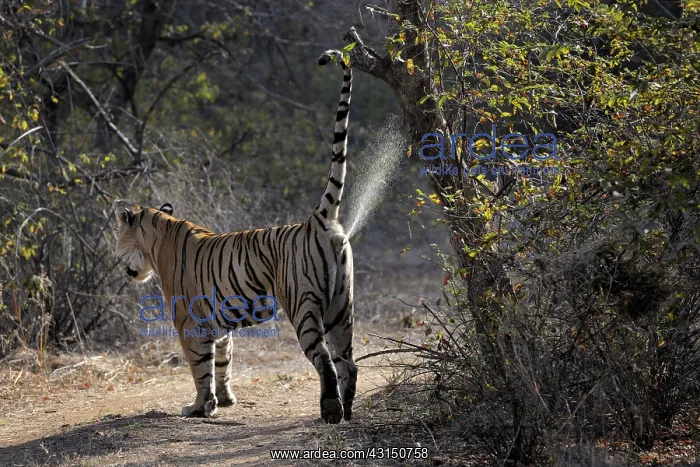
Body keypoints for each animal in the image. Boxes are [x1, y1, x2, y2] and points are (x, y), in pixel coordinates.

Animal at [115, 50, 356, 424]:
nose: (120, 264)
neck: (158, 235)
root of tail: (318, 219)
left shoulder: (188, 322)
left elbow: (199, 368)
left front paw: (200, 408)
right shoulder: (220, 325)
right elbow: (223, 362)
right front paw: (225, 401)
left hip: (303, 307)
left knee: (325, 361)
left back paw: (330, 411)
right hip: (341, 306)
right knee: (349, 363)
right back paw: (348, 410)